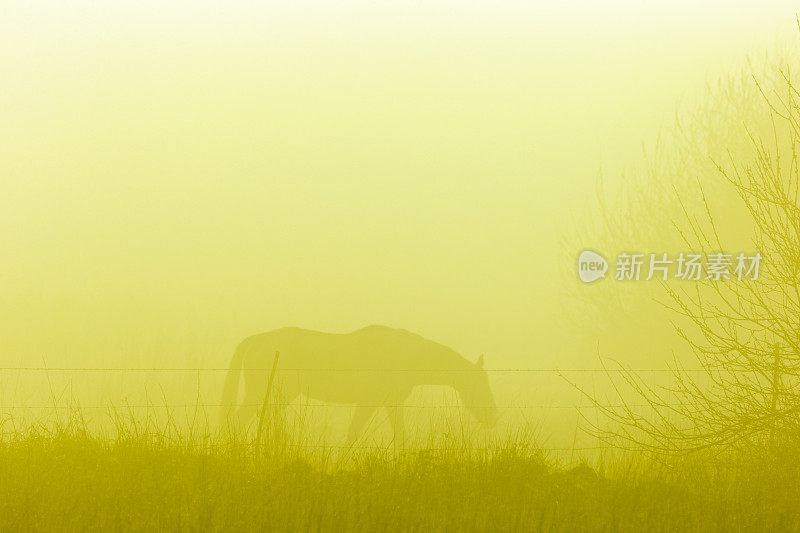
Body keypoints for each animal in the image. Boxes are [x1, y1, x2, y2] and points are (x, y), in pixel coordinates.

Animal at [216, 324, 496, 440]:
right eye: (481, 385)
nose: (492, 416)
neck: (406, 356)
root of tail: (256, 339)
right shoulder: (369, 402)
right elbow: (353, 434)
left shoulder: (391, 404)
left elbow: (401, 436)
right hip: (259, 395)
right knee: (236, 421)